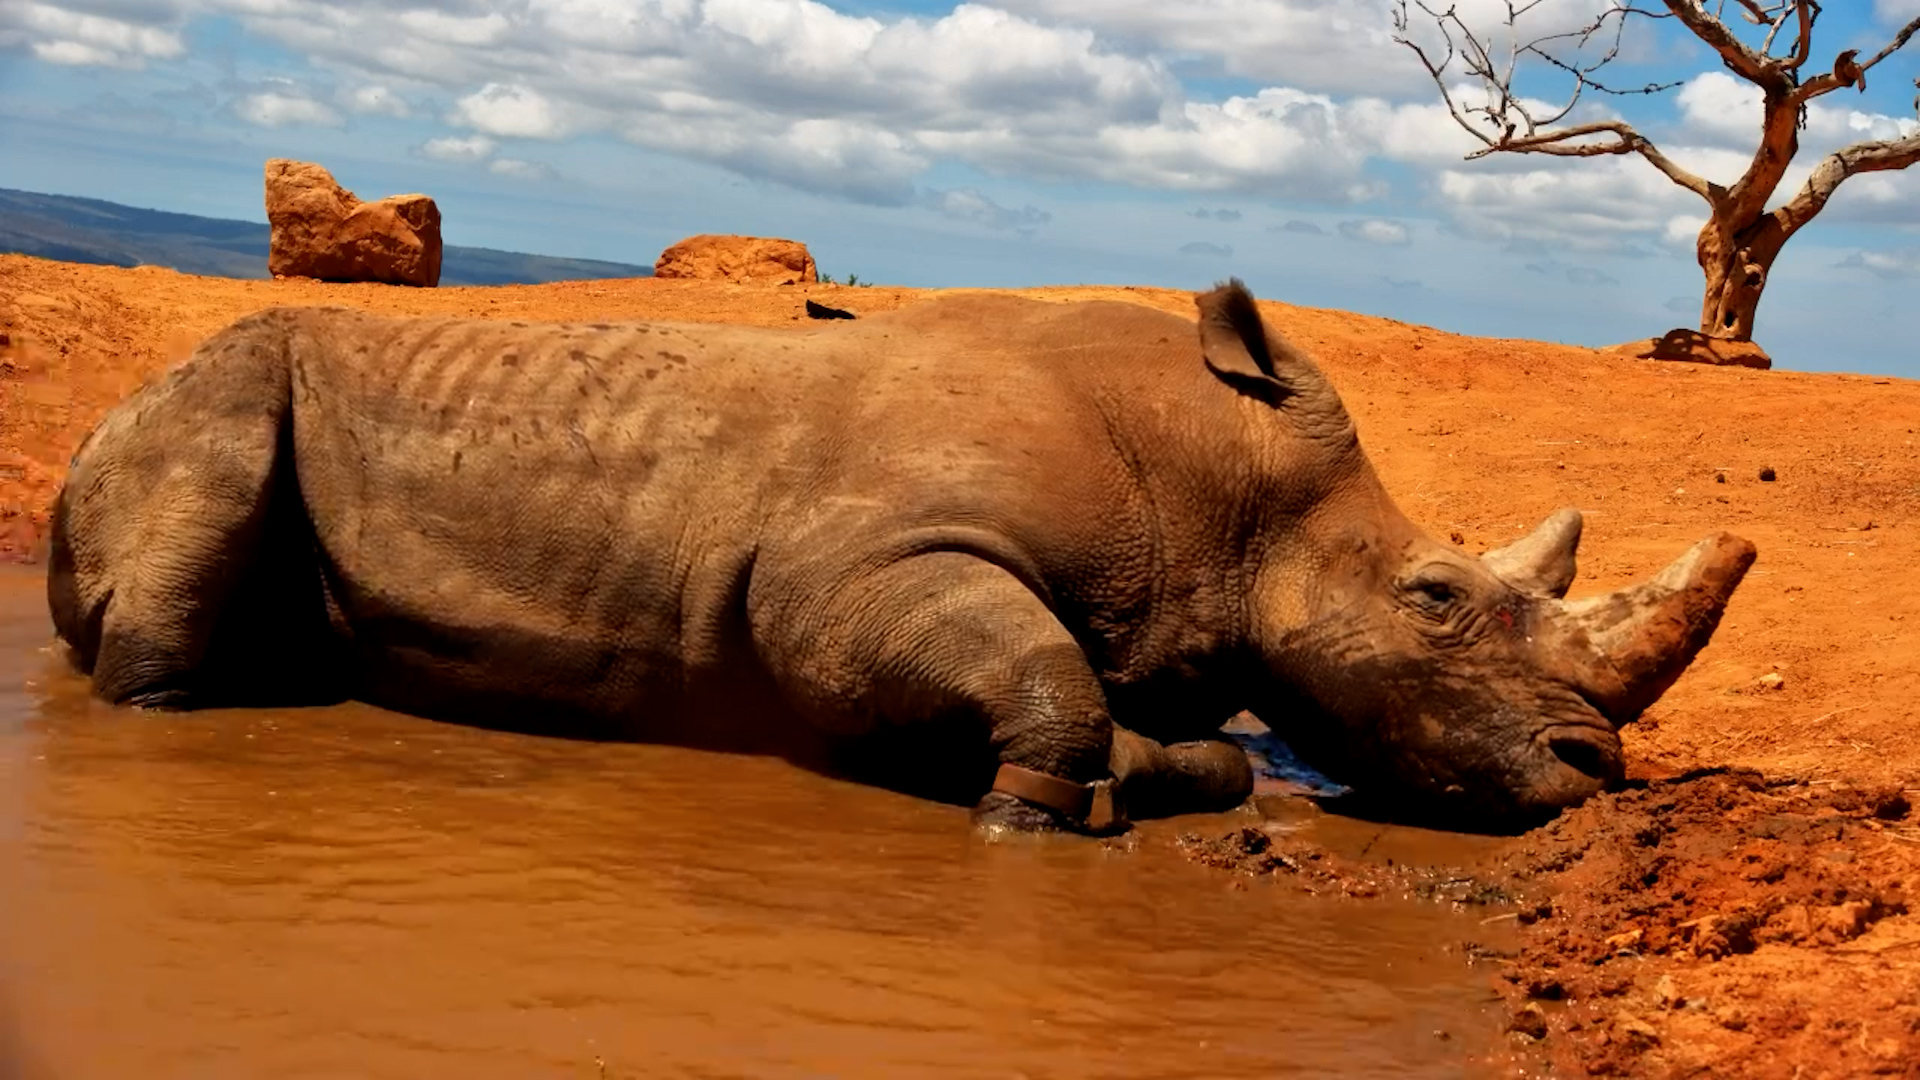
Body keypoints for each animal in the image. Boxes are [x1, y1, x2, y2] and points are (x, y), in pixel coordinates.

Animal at [45, 281, 1754, 832]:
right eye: (1437, 600)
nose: (1590, 771)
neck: (1234, 499)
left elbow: (1163, 727)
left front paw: (1142, 779)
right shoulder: (853, 568)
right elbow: (1040, 680)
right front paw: (1031, 813)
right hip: (206, 395)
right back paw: (165, 719)